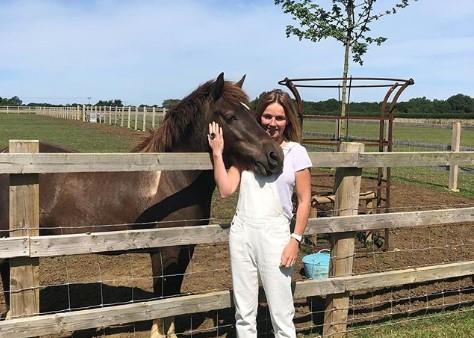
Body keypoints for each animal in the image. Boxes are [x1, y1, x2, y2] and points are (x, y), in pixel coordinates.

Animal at [0, 72, 282, 336]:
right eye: (230, 116)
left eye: (254, 114)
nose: (275, 156)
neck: (173, 178)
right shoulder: (164, 250)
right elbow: (162, 295)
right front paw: (158, 332)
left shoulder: (185, 247)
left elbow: (173, 292)